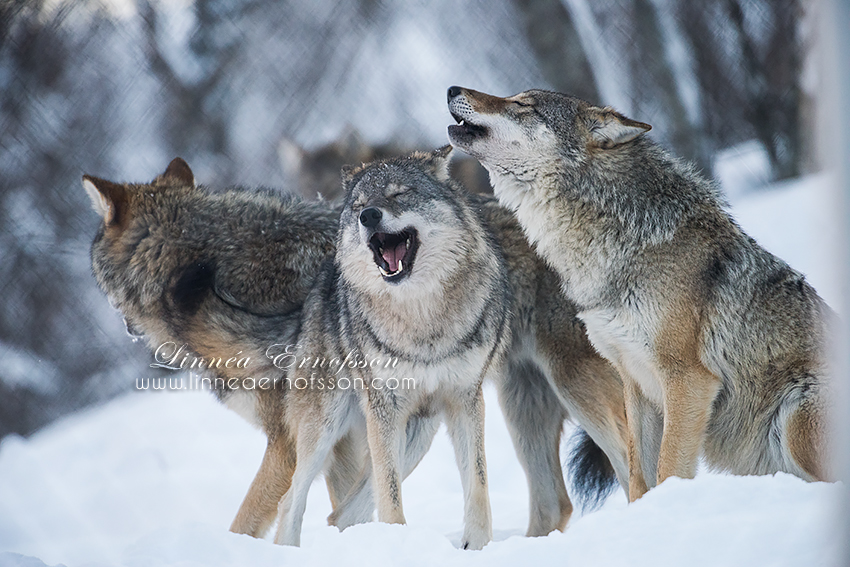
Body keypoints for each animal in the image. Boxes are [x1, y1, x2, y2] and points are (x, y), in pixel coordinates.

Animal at [447, 86, 835, 500]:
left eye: (523, 104)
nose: (453, 89)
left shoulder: (687, 379)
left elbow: (667, 469)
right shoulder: (634, 380)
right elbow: (637, 475)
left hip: (796, 415)